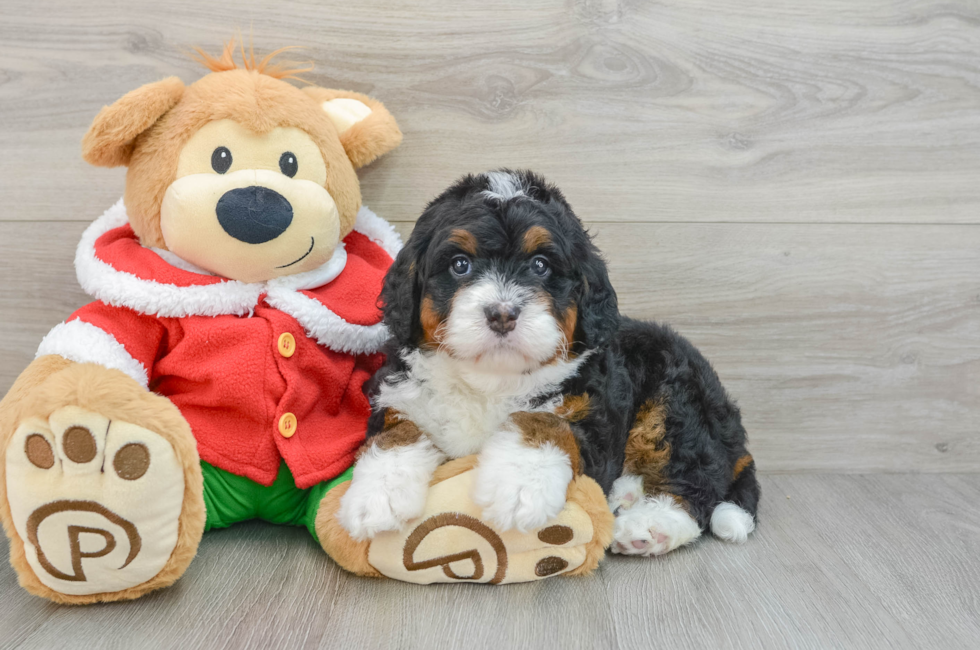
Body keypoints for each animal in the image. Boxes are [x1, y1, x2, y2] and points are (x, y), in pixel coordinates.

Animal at [340, 170, 760, 556]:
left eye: (540, 265)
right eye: (459, 265)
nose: (502, 313)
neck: (490, 381)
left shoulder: (592, 410)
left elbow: (546, 421)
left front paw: (519, 482)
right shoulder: (401, 390)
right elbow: (399, 430)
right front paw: (376, 493)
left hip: (677, 395)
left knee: (695, 479)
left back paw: (650, 525)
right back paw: (626, 494)